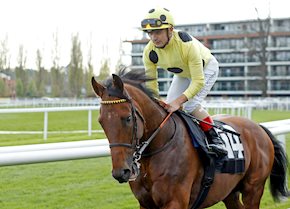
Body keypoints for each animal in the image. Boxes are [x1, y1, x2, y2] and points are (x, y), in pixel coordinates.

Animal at [90, 69, 288, 208]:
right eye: (101, 121)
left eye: (127, 118)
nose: (121, 172)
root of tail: (259, 127)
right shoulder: (145, 204)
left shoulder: (175, 202)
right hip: (229, 192)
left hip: (253, 189)